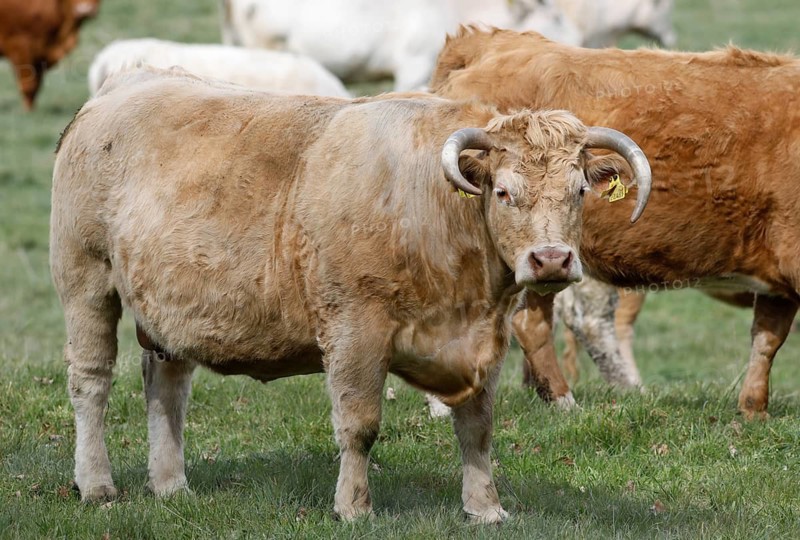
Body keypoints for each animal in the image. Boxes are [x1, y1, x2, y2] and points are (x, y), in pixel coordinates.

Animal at [50, 66, 650, 522]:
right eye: (503, 192)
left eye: (579, 190)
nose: (550, 259)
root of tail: (129, 82)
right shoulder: (355, 329)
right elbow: (359, 426)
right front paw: (353, 507)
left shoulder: (486, 339)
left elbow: (477, 427)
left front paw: (485, 509)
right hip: (85, 281)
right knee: (91, 382)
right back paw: (96, 484)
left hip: (171, 306)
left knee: (166, 384)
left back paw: (171, 484)